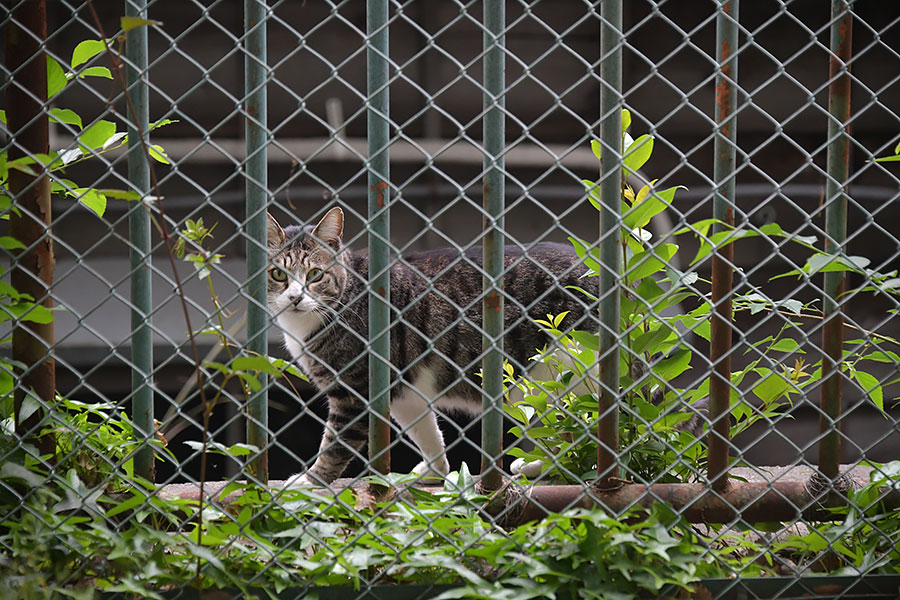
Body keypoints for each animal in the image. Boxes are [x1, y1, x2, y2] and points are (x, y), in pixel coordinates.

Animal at [270, 205, 600, 482]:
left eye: (315, 275)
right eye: (278, 274)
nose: (295, 297)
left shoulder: (355, 392)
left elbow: (335, 445)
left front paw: (311, 481)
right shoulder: (404, 394)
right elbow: (426, 433)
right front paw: (434, 471)